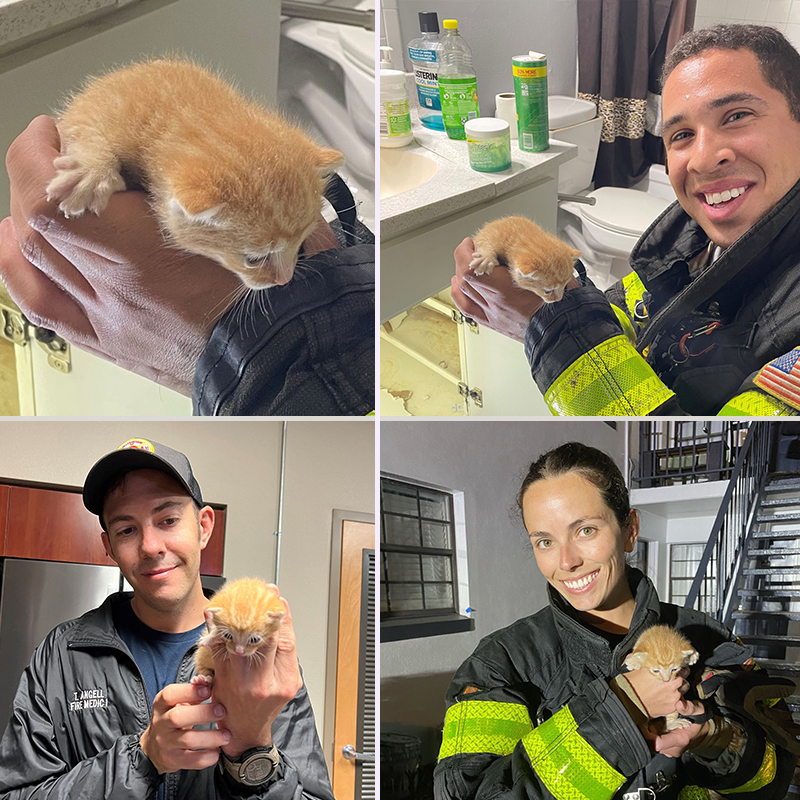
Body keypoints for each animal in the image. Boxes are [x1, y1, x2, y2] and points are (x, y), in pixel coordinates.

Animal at [47, 60, 340, 290]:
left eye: (302, 242)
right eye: (253, 260)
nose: (285, 280)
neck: (179, 110)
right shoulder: (92, 104)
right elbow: (83, 125)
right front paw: (92, 171)